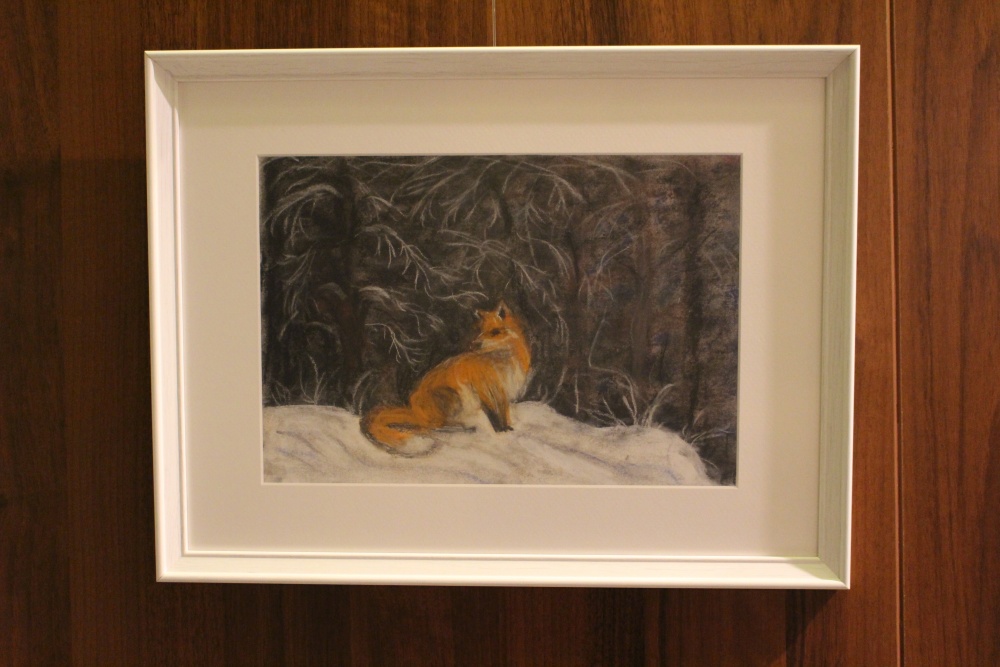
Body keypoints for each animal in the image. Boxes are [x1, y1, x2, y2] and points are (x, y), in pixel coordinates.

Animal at [361, 301, 531, 450]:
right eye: (479, 331)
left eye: (495, 332)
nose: (474, 344)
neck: (504, 363)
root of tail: (413, 409)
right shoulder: (485, 389)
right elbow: (493, 413)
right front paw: (500, 431)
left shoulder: (503, 392)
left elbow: (504, 413)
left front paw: (507, 428)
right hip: (452, 398)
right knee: (429, 427)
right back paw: (456, 428)